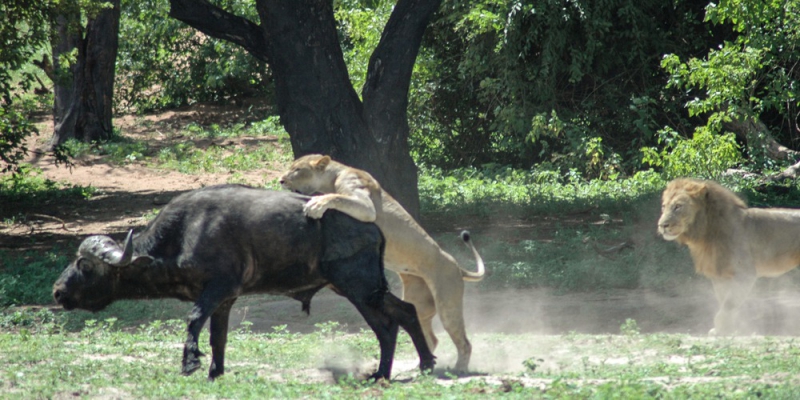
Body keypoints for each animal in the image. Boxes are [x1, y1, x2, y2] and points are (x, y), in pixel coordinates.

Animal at [52, 185, 434, 382]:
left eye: (85, 265)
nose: (58, 291)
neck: (184, 234)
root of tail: (373, 227)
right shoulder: (225, 301)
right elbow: (217, 338)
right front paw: (214, 372)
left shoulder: (215, 290)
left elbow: (193, 321)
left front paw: (189, 364)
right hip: (361, 287)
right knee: (406, 311)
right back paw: (425, 364)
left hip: (359, 288)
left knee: (386, 326)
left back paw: (382, 373)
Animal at [278, 154, 484, 372]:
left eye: (297, 169)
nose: (280, 180)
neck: (334, 176)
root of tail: (456, 265)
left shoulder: (366, 206)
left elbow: (338, 197)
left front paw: (316, 204)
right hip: (419, 302)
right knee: (431, 337)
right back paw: (420, 366)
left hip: (447, 304)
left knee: (464, 342)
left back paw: (459, 369)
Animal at [656, 178, 800, 334]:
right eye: (664, 206)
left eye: (678, 206)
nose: (662, 225)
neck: (706, 233)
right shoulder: (720, 275)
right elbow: (724, 301)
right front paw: (730, 329)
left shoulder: (745, 273)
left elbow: (729, 304)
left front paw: (721, 330)